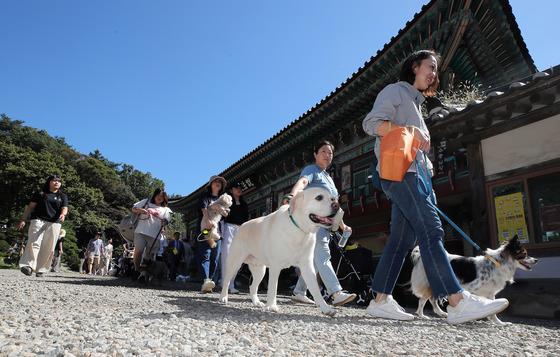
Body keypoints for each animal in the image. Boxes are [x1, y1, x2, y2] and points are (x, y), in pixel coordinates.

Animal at [219, 186, 342, 314]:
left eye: (333, 198)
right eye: (319, 197)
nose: (336, 205)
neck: (299, 229)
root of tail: (241, 226)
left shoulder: (307, 266)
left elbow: (315, 289)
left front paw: (326, 308)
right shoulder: (275, 266)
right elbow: (273, 288)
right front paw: (272, 306)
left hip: (260, 271)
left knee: (252, 286)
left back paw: (256, 302)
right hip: (234, 264)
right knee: (226, 281)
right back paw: (223, 297)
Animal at [412, 235, 540, 324]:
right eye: (524, 254)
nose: (536, 260)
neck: (496, 264)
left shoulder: (490, 294)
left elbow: (493, 311)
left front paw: (497, 322)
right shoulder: (472, 288)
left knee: (432, 299)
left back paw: (441, 313)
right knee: (423, 299)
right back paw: (421, 315)